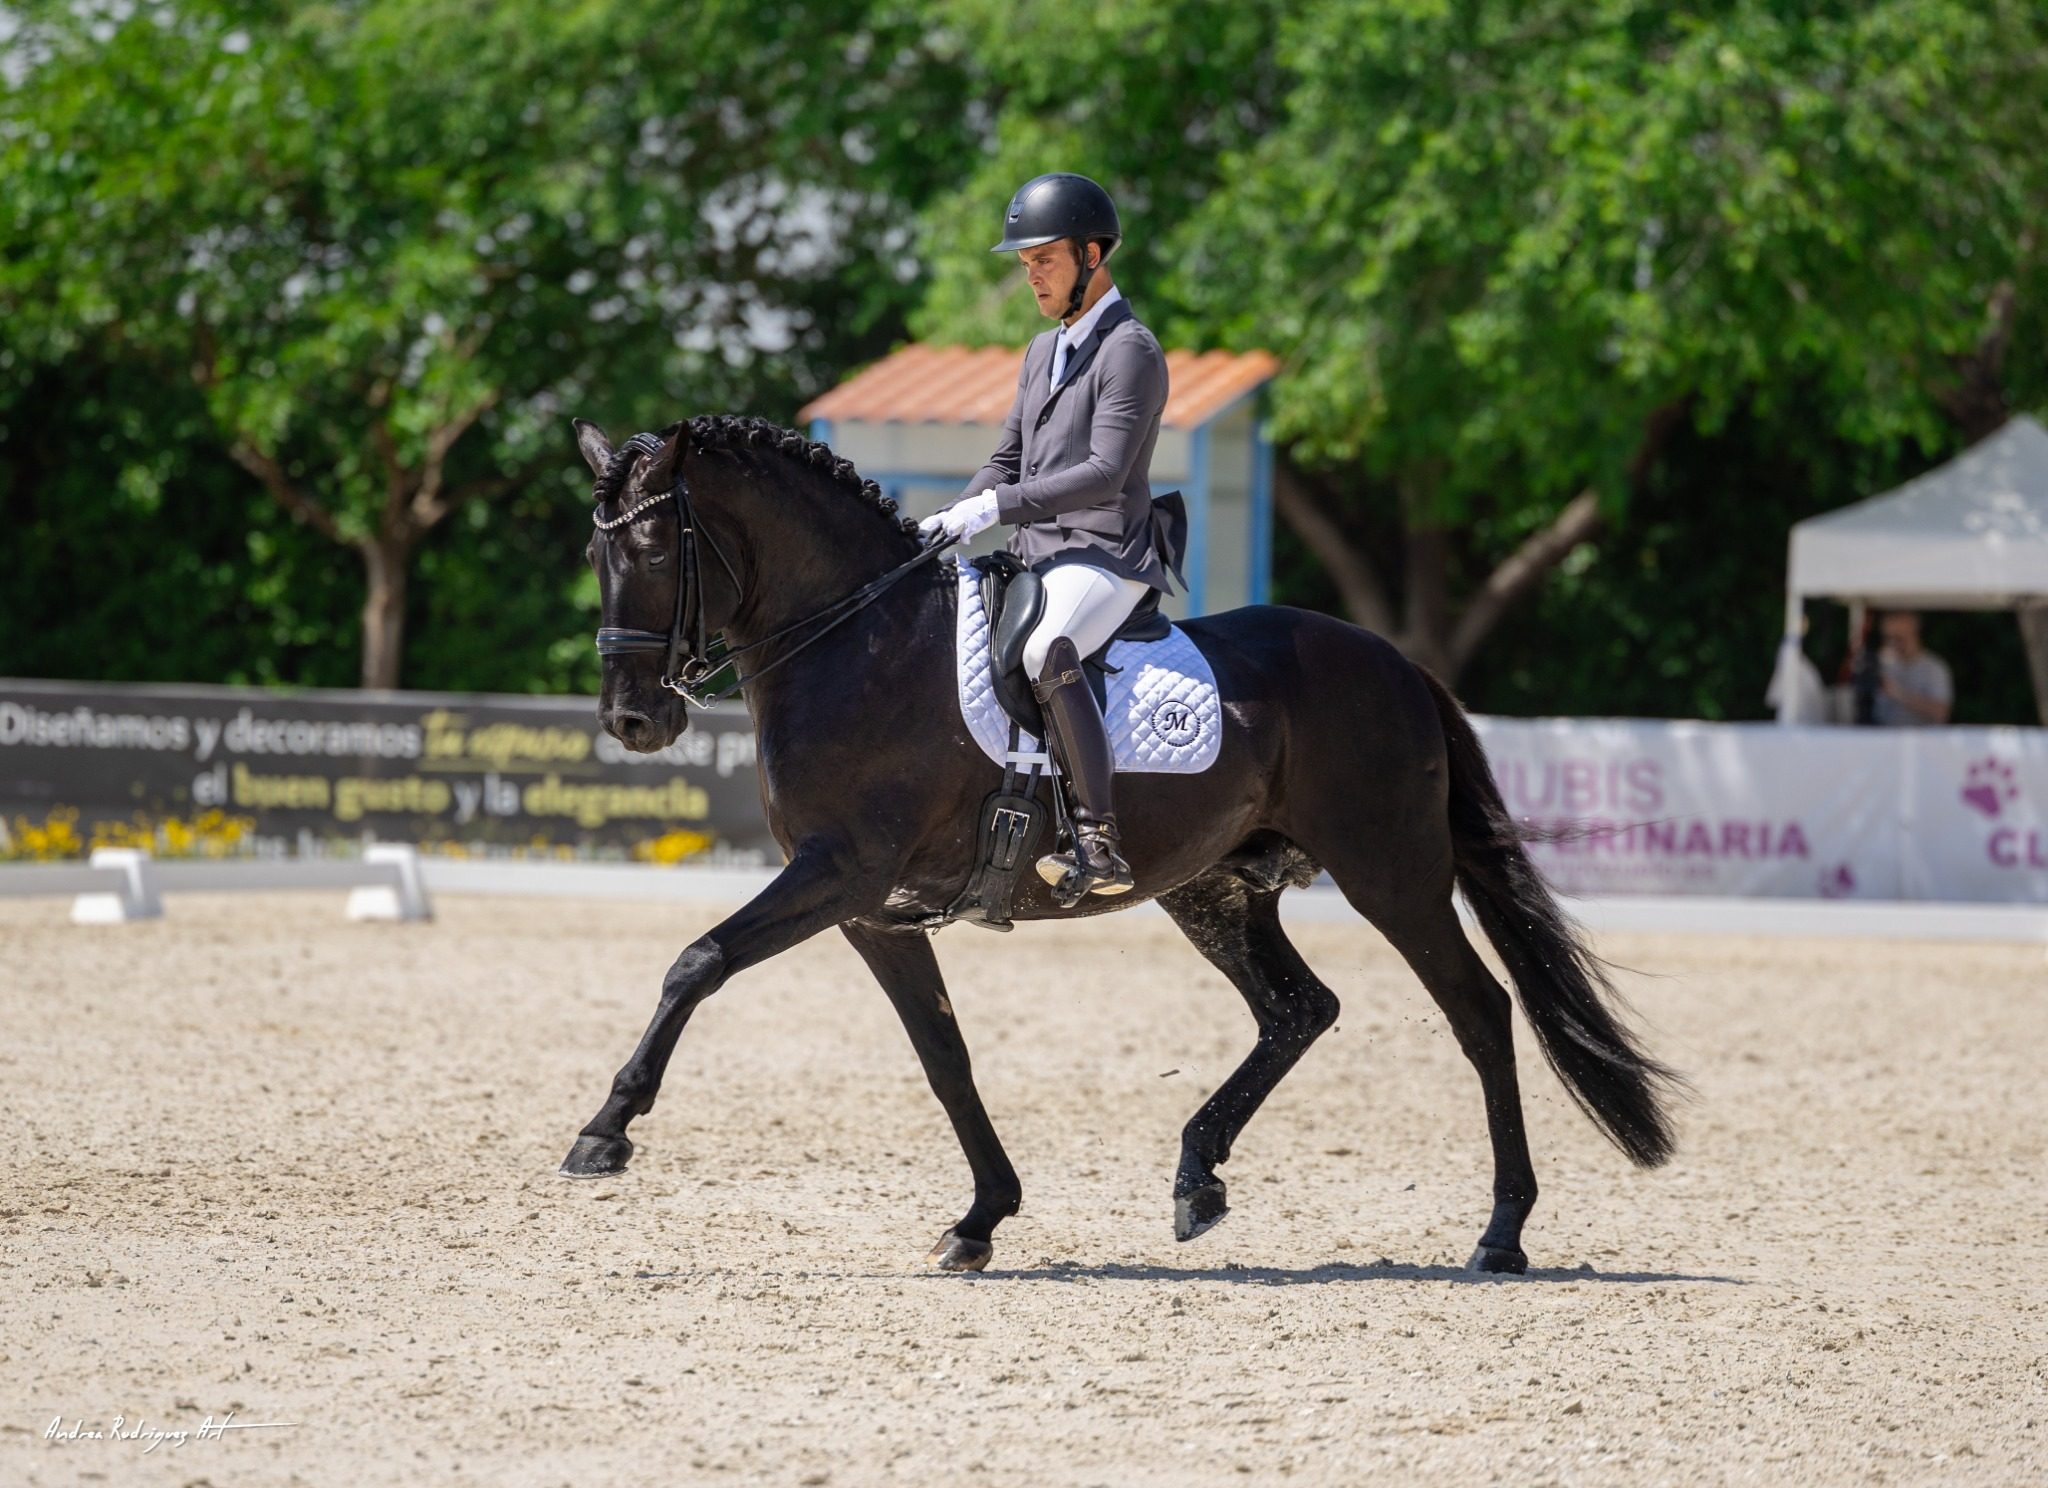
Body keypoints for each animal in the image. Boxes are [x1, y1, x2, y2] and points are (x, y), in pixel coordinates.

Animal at [561, 414, 1683, 1274]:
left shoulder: (839, 874)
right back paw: (1198, 1178)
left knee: (1479, 1012)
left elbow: (696, 961)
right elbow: (944, 1056)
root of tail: (1395, 664)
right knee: (1299, 1009)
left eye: (652, 551)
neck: (859, 643)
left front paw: (604, 1132)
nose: (631, 723)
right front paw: (980, 1219)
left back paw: (1500, 1234)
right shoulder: (876, 913)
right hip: (1213, 891)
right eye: (593, 555)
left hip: (1391, 875)